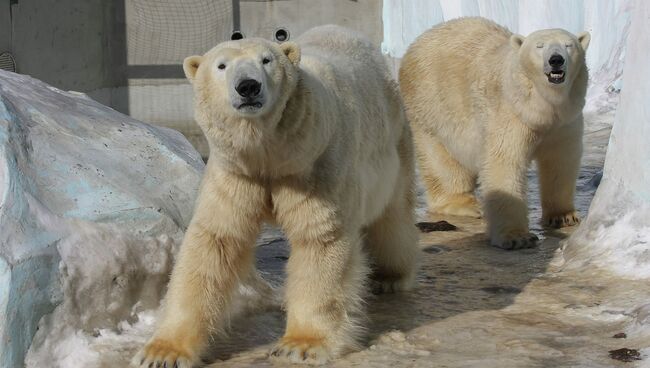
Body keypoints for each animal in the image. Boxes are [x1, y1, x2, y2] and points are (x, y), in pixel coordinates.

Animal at [130, 24, 420, 366]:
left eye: (266, 60)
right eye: (222, 65)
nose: (248, 87)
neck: (270, 154)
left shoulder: (315, 165)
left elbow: (319, 239)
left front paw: (302, 345)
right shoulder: (236, 174)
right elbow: (214, 242)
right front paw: (162, 351)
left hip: (393, 144)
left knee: (393, 215)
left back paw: (389, 276)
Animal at [398, 15, 588, 249]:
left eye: (569, 45)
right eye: (539, 46)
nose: (556, 60)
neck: (542, 108)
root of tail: (416, 43)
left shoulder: (564, 122)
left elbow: (560, 161)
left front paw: (563, 216)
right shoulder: (510, 113)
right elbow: (504, 163)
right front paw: (516, 238)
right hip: (429, 108)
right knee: (443, 163)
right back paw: (467, 204)